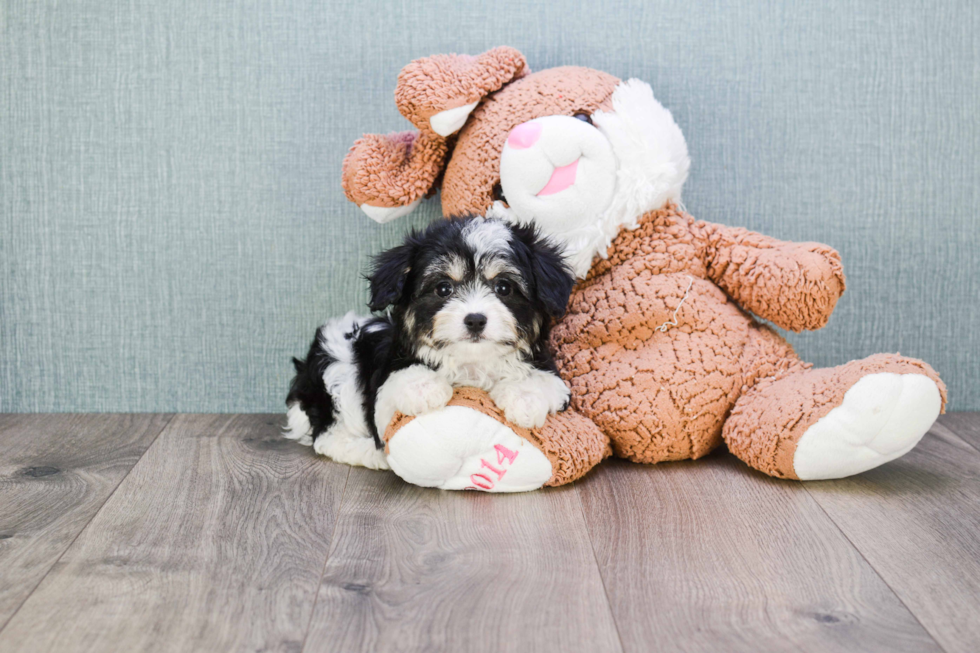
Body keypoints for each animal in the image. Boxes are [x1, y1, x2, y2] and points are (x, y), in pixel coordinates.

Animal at [282, 215, 576, 468]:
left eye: (503, 287)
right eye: (443, 288)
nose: (475, 320)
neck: (471, 362)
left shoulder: (550, 372)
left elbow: (545, 381)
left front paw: (524, 399)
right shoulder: (383, 384)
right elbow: (394, 390)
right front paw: (424, 388)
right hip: (338, 370)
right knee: (326, 436)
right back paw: (370, 454)